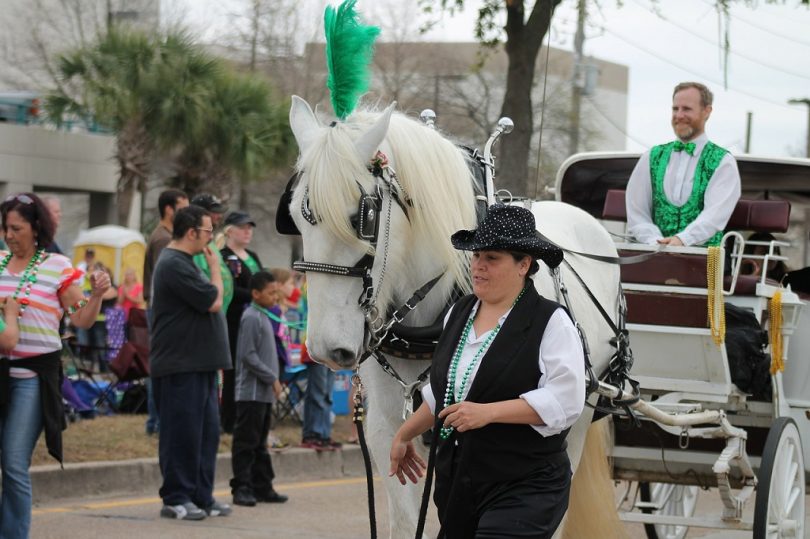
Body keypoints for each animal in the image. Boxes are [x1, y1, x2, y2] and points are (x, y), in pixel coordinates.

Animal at [288, 97, 624, 539]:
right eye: (293, 216)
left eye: (363, 218)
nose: (328, 349)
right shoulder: (387, 429)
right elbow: (405, 518)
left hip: (579, 415)